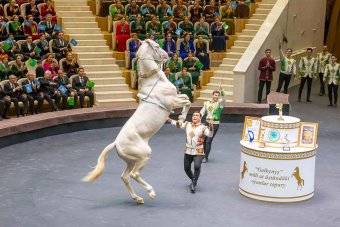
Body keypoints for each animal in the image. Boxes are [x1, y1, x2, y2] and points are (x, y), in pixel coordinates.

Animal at [81, 38, 190, 204]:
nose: (168, 55)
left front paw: (179, 121)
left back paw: (137, 198)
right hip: (143, 157)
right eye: (157, 46)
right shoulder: (172, 101)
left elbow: (186, 97)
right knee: (134, 175)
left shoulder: (175, 99)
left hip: (132, 161)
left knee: (125, 177)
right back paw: (151, 192)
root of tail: (116, 144)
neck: (154, 81)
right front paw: (181, 119)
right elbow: (187, 101)